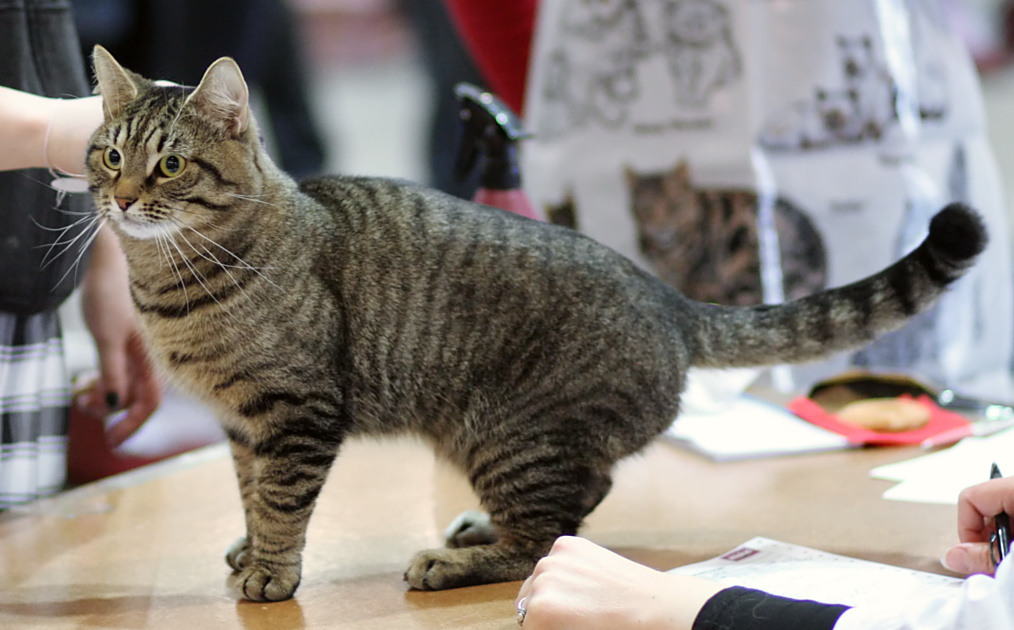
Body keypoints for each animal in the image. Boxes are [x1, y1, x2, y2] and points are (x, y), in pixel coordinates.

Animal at [87, 46, 989, 600]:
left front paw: (271, 571)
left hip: (505, 431)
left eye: (170, 164)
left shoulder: (295, 412)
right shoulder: (243, 423)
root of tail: (668, 298)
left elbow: (281, 501)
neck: (171, 285)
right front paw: (249, 548)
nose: (122, 199)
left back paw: (454, 560)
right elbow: (250, 493)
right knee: (576, 503)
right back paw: (477, 530)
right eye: (109, 154)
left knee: (546, 534)